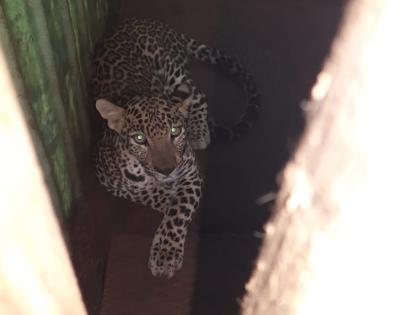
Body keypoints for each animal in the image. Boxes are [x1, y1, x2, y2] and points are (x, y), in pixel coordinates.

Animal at [92, 17, 260, 278]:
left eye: (174, 132)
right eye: (140, 139)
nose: (167, 170)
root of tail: (149, 23)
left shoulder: (192, 174)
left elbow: (179, 210)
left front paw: (165, 254)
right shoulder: (111, 180)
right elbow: (150, 194)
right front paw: (166, 197)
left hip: (172, 70)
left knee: (197, 94)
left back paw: (199, 129)